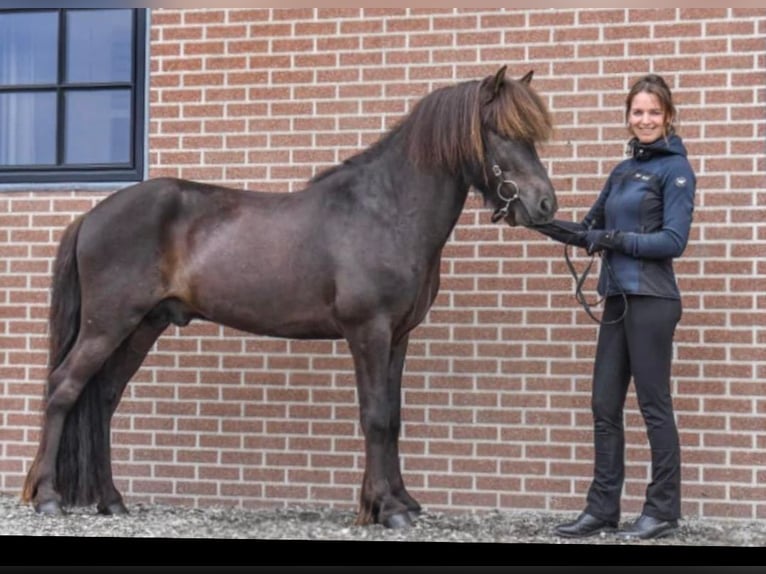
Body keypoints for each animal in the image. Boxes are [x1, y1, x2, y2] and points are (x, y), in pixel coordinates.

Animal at [19, 65, 560, 528]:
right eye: (501, 131)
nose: (544, 205)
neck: (385, 211)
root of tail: (93, 215)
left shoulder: (399, 335)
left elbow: (393, 417)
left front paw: (397, 502)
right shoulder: (368, 331)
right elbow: (375, 416)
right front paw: (386, 509)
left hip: (143, 325)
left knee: (104, 398)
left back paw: (111, 500)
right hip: (108, 324)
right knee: (64, 389)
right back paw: (47, 498)